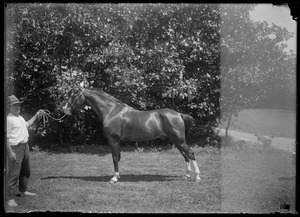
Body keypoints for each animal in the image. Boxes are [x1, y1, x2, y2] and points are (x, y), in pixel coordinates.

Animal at [62, 86, 200, 183]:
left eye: (73, 95)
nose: (65, 109)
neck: (111, 111)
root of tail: (179, 114)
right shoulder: (117, 141)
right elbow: (118, 157)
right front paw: (117, 176)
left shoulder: (113, 140)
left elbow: (115, 158)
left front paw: (114, 178)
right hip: (176, 141)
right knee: (185, 155)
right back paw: (187, 175)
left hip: (179, 140)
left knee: (190, 154)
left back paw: (197, 177)